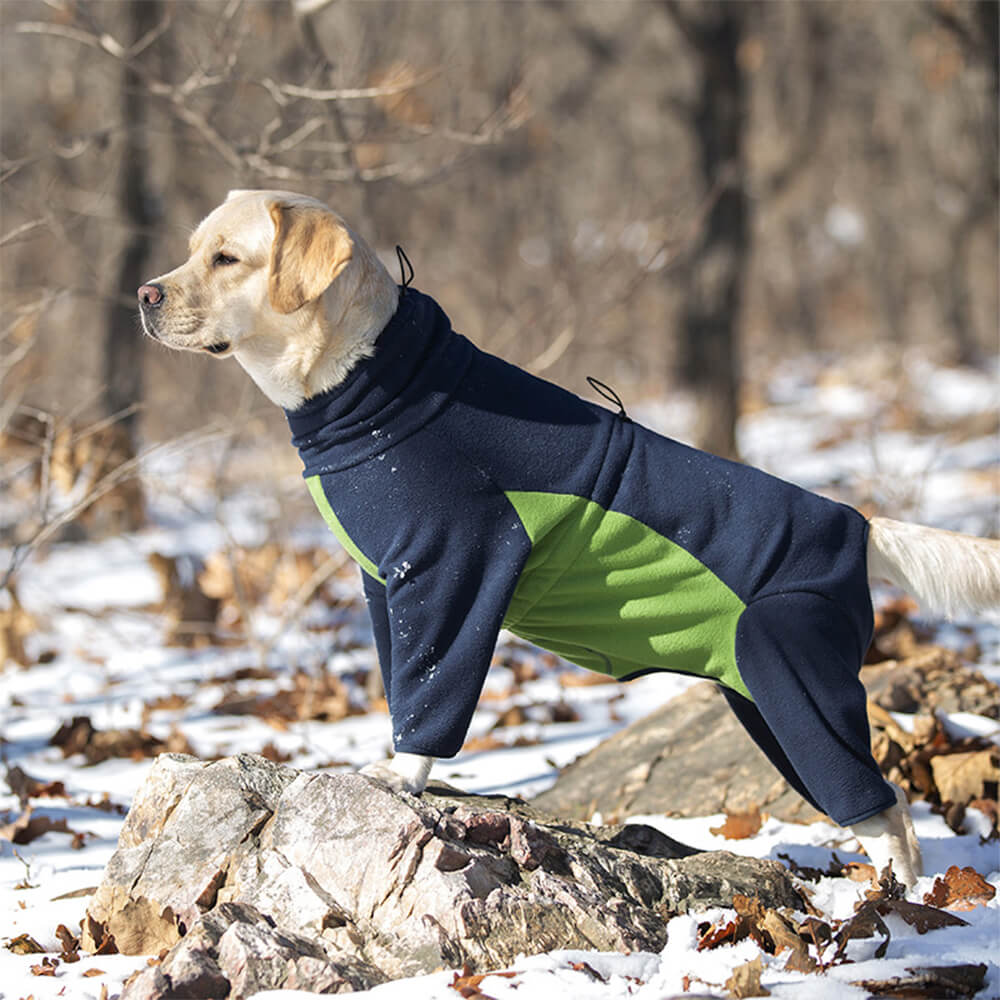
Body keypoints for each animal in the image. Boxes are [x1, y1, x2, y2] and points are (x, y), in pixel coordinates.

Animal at [141, 191, 1000, 888]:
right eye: (188, 248)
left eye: (226, 258)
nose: (144, 293)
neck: (367, 379)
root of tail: (856, 525)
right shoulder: (387, 586)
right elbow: (397, 682)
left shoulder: (452, 569)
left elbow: (429, 695)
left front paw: (397, 777)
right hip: (761, 697)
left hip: (797, 680)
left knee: (885, 810)